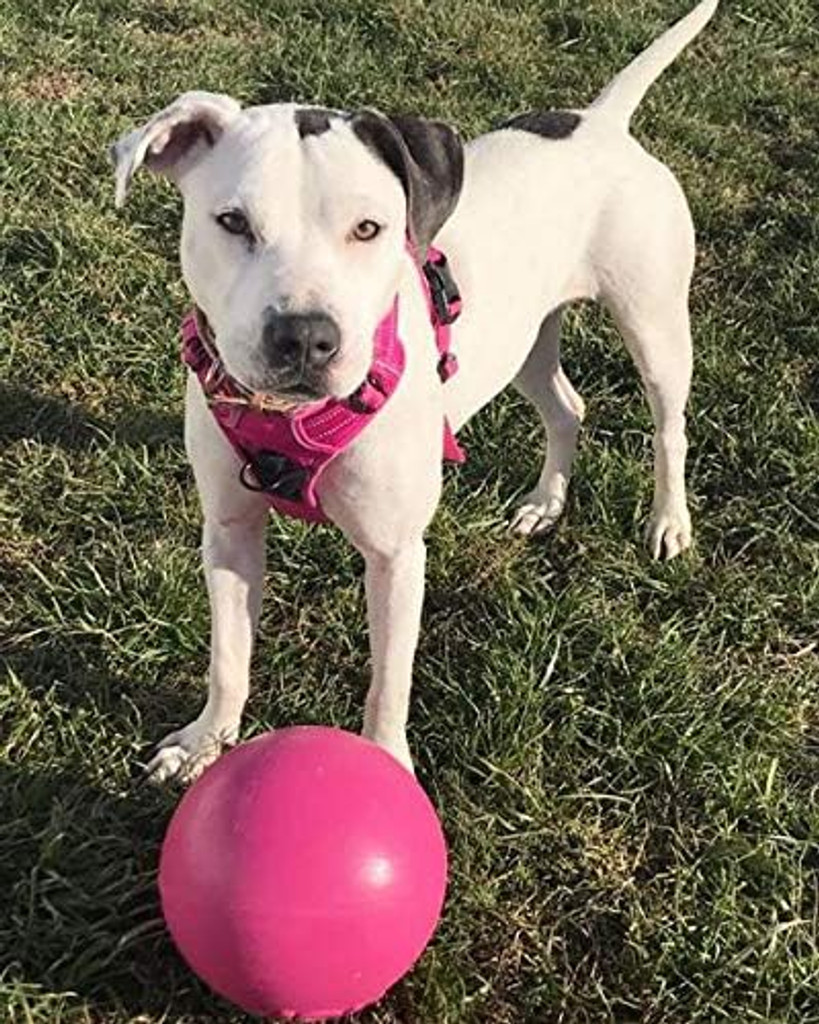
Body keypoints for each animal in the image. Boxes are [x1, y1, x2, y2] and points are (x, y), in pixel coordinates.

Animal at [113, 0, 716, 782]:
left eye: (369, 228)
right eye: (232, 223)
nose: (304, 338)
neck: (292, 418)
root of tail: (600, 121)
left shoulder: (396, 556)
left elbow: (388, 683)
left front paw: (386, 763)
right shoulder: (229, 531)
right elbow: (228, 657)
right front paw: (205, 744)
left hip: (654, 325)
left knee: (668, 426)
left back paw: (668, 522)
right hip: (523, 340)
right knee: (567, 407)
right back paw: (545, 504)